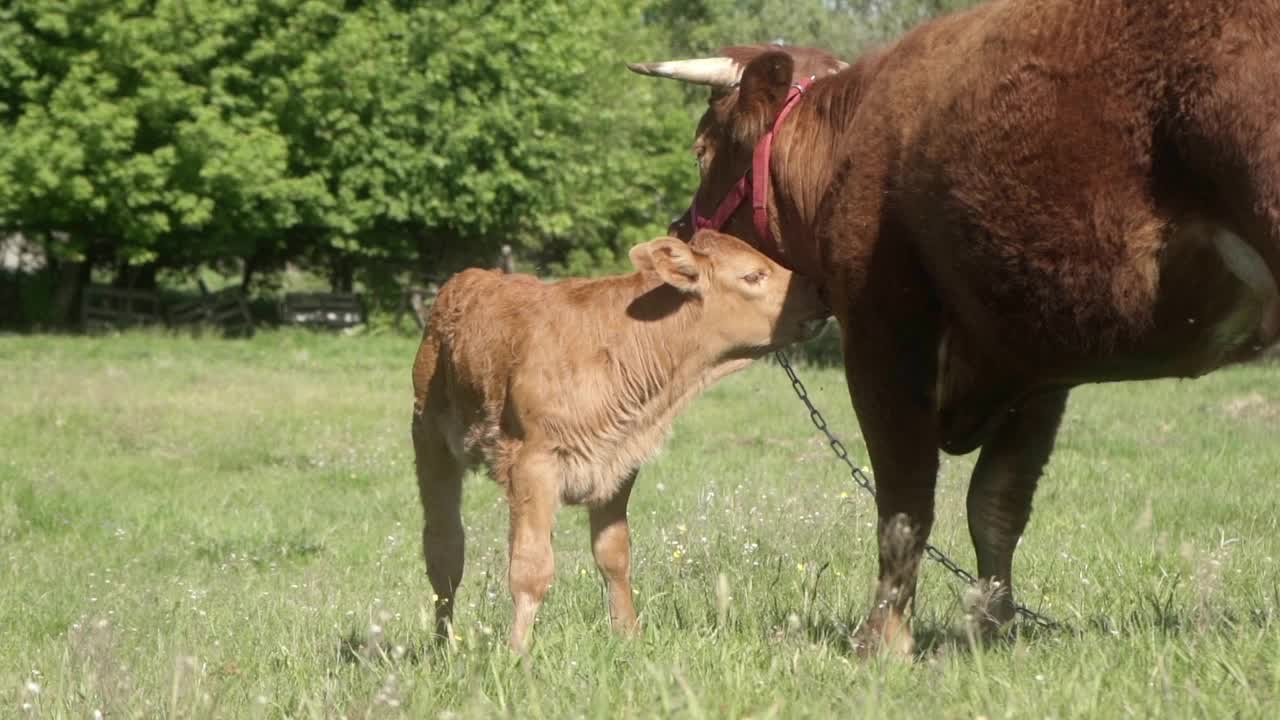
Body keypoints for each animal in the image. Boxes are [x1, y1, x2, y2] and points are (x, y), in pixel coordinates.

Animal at [412, 229, 829, 650]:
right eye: (753, 275)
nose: (818, 290)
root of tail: (467, 279)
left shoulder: (618, 462)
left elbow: (613, 555)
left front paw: (628, 636)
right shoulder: (533, 463)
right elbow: (531, 568)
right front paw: (518, 651)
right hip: (429, 442)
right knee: (445, 552)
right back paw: (444, 643)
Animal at [629, 0, 1280, 655]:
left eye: (702, 151)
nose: (680, 229)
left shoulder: (884, 330)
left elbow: (904, 503)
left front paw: (882, 641)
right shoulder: (1034, 360)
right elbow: (997, 502)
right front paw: (990, 627)